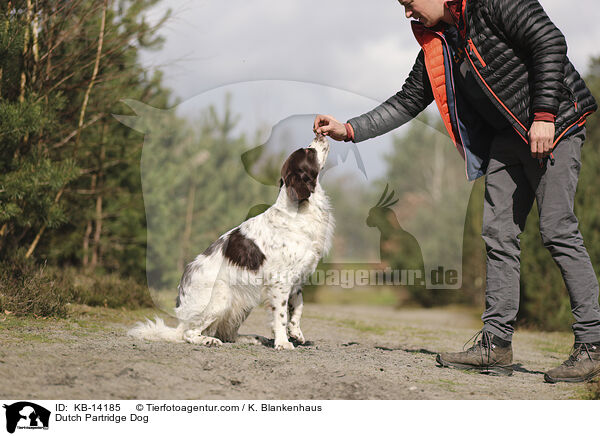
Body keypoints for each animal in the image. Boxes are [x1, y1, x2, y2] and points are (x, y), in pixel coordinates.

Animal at [129, 135, 332, 350]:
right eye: (309, 151)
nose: (320, 135)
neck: (298, 209)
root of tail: (181, 320)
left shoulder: (297, 279)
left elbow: (298, 309)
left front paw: (296, 334)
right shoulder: (280, 282)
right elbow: (281, 315)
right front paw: (283, 342)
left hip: (242, 302)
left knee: (228, 334)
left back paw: (254, 338)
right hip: (221, 298)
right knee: (190, 334)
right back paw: (208, 340)